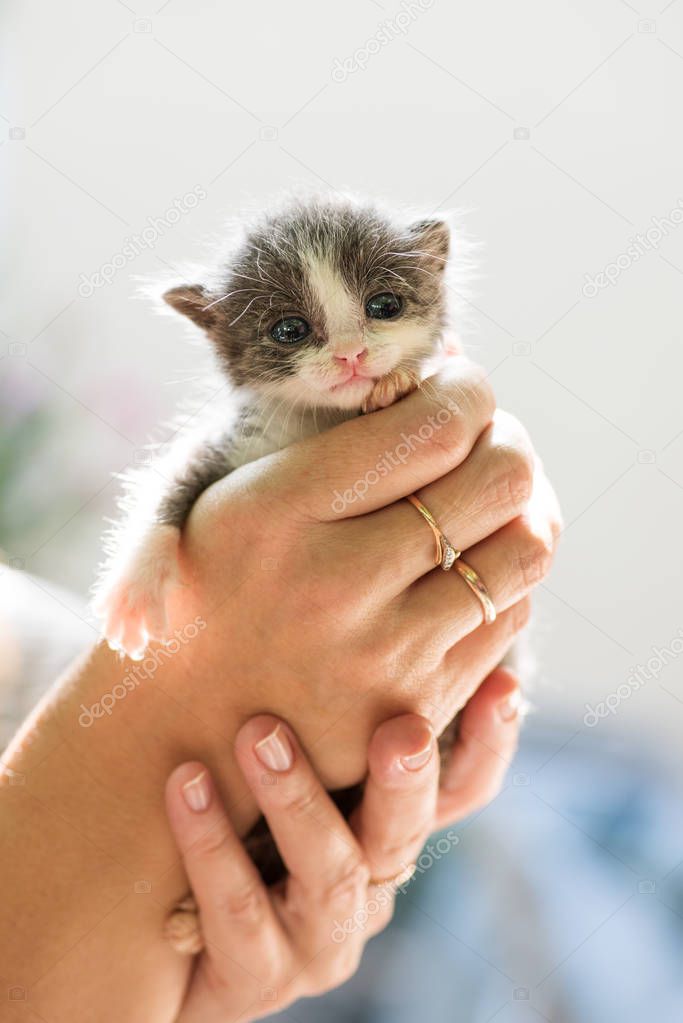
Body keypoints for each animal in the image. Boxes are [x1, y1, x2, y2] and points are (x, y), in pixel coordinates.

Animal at [92, 193, 464, 957]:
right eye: (289, 329)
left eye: (383, 305)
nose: (353, 355)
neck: (321, 421)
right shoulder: (233, 444)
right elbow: (171, 482)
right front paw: (135, 587)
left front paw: (398, 381)